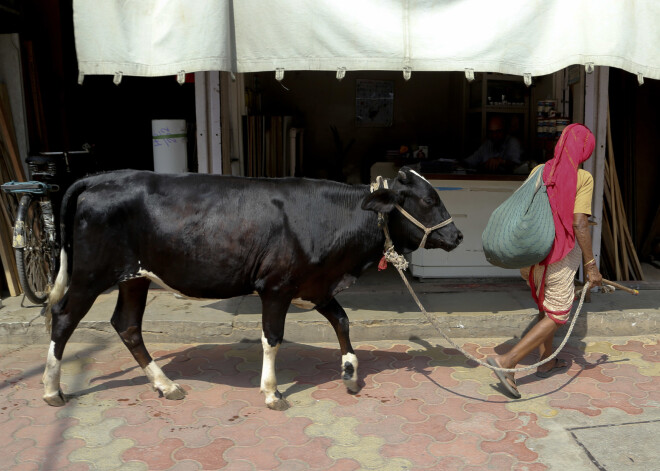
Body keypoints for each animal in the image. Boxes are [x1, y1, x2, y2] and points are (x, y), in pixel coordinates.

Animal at [42, 168, 458, 412]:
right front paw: (272, 392)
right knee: (62, 317)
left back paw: (166, 385)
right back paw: (51, 390)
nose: (458, 236)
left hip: (135, 276)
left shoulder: (315, 285)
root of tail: (101, 177)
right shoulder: (276, 286)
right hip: (91, 273)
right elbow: (272, 338)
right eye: (429, 199)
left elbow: (342, 320)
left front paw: (351, 374)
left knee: (127, 325)